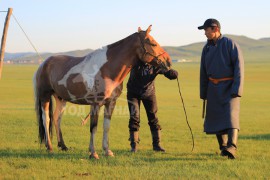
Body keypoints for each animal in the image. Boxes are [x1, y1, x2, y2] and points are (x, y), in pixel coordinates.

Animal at [33, 25, 171, 159]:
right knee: (46, 119)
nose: (168, 61)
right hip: (45, 96)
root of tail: (43, 64)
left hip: (61, 99)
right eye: (153, 43)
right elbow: (93, 127)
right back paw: (49, 147)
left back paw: (63, 146)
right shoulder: (95, 104)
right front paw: (93, 153)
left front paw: (107, 151)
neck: (107, 69)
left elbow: (106, 126)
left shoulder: (110, 103)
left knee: (57, 118)